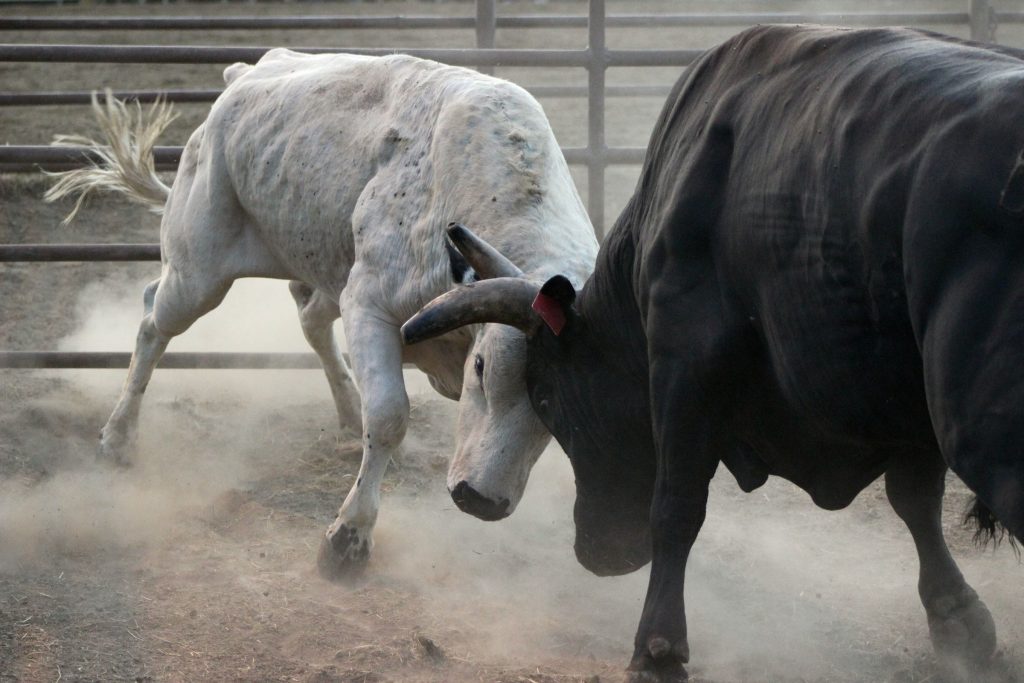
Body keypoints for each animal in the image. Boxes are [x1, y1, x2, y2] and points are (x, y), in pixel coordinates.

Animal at [45, 49, 597, 580]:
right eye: (481, 368)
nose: (479, 500)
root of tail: (244, 75)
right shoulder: (369, 306)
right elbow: (390, 416)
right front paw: (347, 539)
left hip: (324, 270)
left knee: (310, 320)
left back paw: (350, 413)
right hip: (197, 274)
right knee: (151, 321)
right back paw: (118, 437)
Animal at [401, 25, 1024, 682]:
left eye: (544, 398)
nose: (595, 550)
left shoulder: (685, 366)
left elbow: (677, 506)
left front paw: (657, 647)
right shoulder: (902, 400)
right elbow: (915, 500)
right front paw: (958, 619)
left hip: (980, 426)